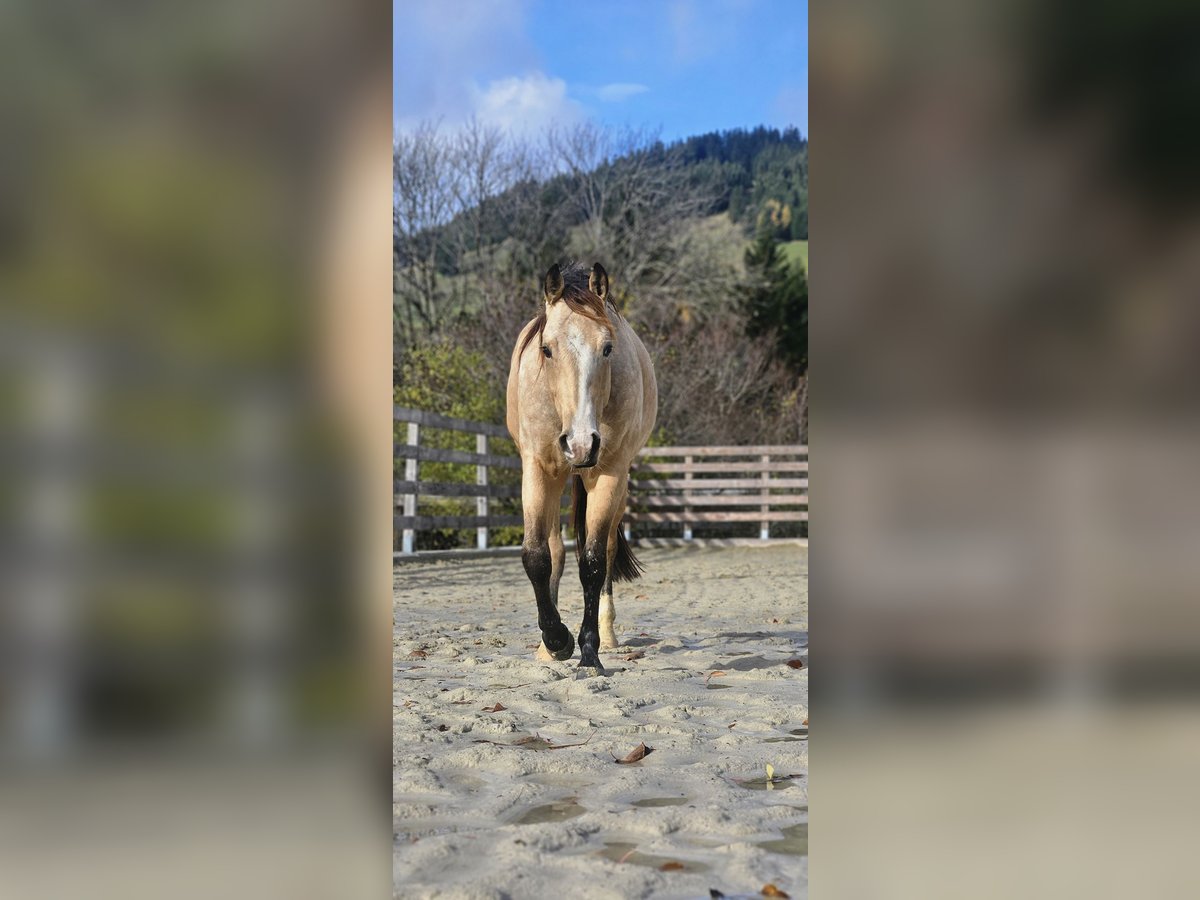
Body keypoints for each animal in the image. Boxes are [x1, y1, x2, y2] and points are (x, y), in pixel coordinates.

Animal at [506, 261, 658, 673]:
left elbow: (592, 562)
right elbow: (537, 556)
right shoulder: (537, 469)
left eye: (607, 348)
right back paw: (548, 646)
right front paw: (556, 641)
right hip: (558, 479)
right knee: (556, 550)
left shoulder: (609, 474)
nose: (581, 443)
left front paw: (588, 651)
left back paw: (607, 634)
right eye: (546, 349)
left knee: (606, 550)